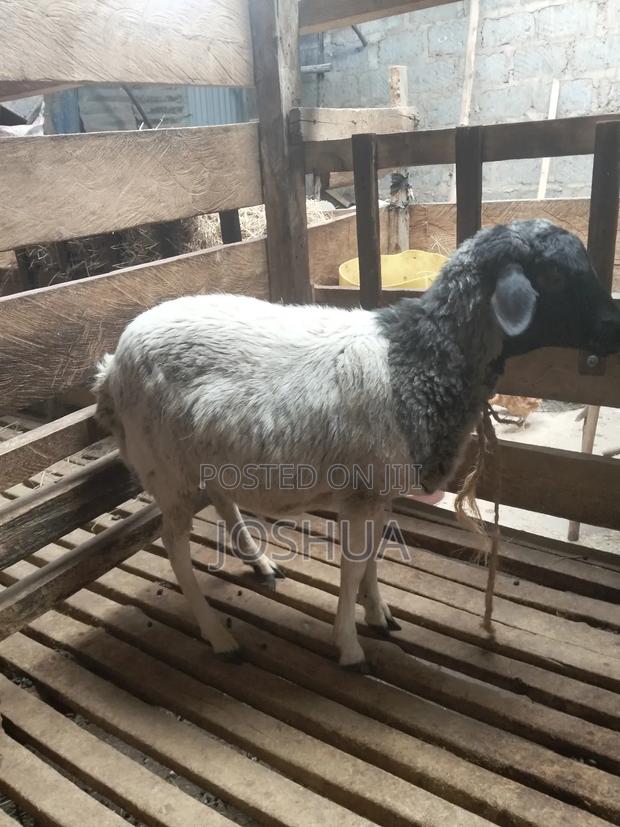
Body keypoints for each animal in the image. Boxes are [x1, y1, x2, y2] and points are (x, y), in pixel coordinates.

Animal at [94, 219, 620, 671]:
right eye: (554, 275)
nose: (616, 325)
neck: (422, 360)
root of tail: (112, 364)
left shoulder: (378, 493)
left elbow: (370, 559)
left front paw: (378, 614)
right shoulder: (362, 494)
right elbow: (351, 568)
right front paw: (349, 645)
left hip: (205, 458)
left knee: (225, 503)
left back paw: (260, 563)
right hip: (168, 472)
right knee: (175, 548)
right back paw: (219, 637)